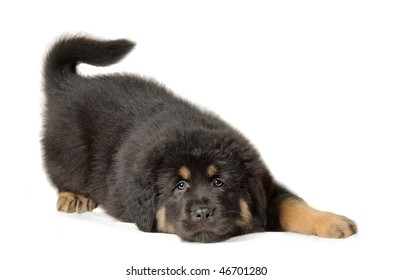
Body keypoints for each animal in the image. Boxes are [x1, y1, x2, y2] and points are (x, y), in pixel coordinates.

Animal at [41, 35, 356, 242]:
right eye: (180, 186)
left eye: (219, 182)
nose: (203, 212)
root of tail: (70, 85)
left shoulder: (265, 189)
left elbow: (294, 205)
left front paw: (332, 222)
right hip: (71, 152)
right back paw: (73, 196)